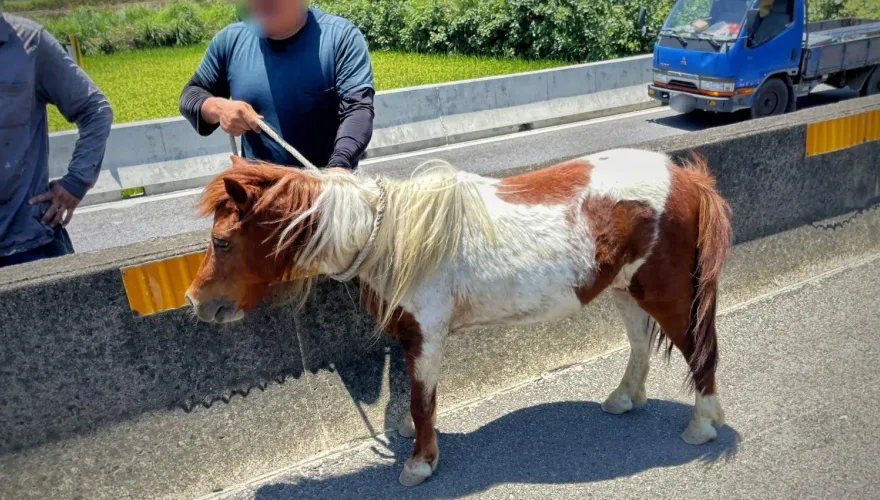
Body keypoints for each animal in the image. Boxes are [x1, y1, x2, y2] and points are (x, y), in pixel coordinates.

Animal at [185, 148, 732, 486]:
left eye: (222, 241)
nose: (195, 300)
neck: (392, 237)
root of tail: (687, 179)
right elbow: (414, 398)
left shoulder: (427, 336)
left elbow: (423, 401)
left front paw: (420, 463)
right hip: (624, 288)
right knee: (639, 344)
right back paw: (624, 398)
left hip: (667, 293)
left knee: (700, 352)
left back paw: (702, 425)